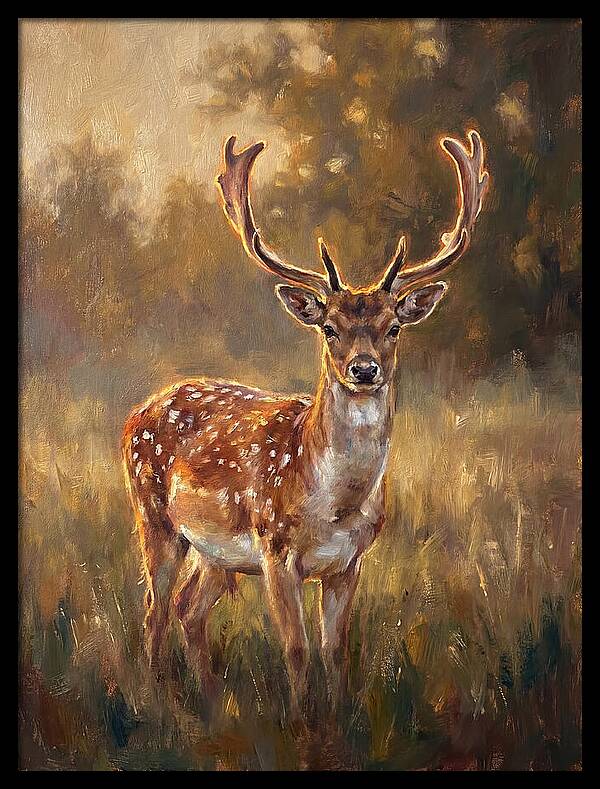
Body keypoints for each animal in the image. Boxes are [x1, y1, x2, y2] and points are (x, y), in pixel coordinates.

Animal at [122, 129, 489, 721]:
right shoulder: (275, 550)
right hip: (154, 517)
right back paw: (159, 701)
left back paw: (212, 702)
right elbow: (295, 649)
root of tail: (139, 410)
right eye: (330, 328)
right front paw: (300, 724)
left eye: (392, 327)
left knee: (187, 608)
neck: (334, 506)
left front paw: (336, 720)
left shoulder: (349, 562)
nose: (364, 369)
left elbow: (335, 650)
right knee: (154, 609)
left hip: (215, 553)